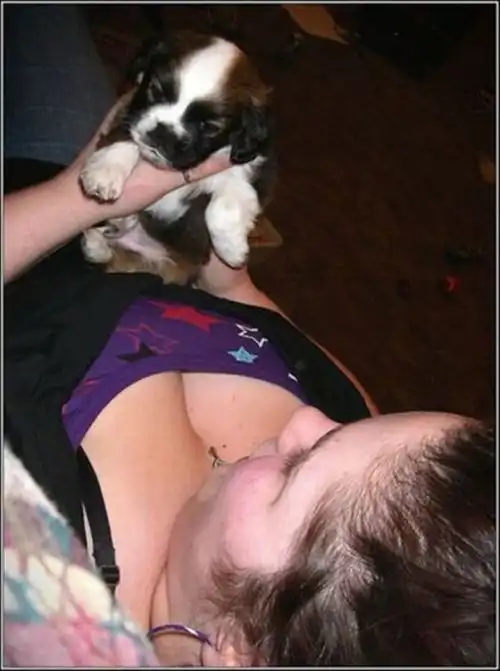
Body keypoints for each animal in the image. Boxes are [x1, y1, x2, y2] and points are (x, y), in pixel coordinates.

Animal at [80, 30, 276, 284]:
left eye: (208, 125)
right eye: (155, 90)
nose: (164, 131)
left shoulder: (254, 167)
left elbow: (223, 208)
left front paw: (232, 250)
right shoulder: (128, 112)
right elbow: (125, 139)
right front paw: (104, 172)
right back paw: (101, 237)